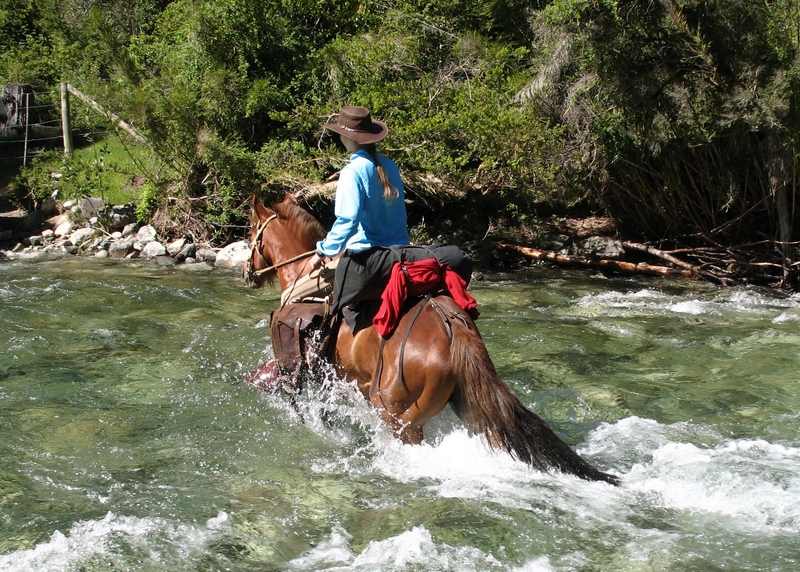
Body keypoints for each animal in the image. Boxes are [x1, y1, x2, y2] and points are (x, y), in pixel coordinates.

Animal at [244, 196, 619, 485]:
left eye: (249, 232)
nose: (248, 274)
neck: (307, 277)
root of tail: (456, 334)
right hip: (470, 408)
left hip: (398, 417)